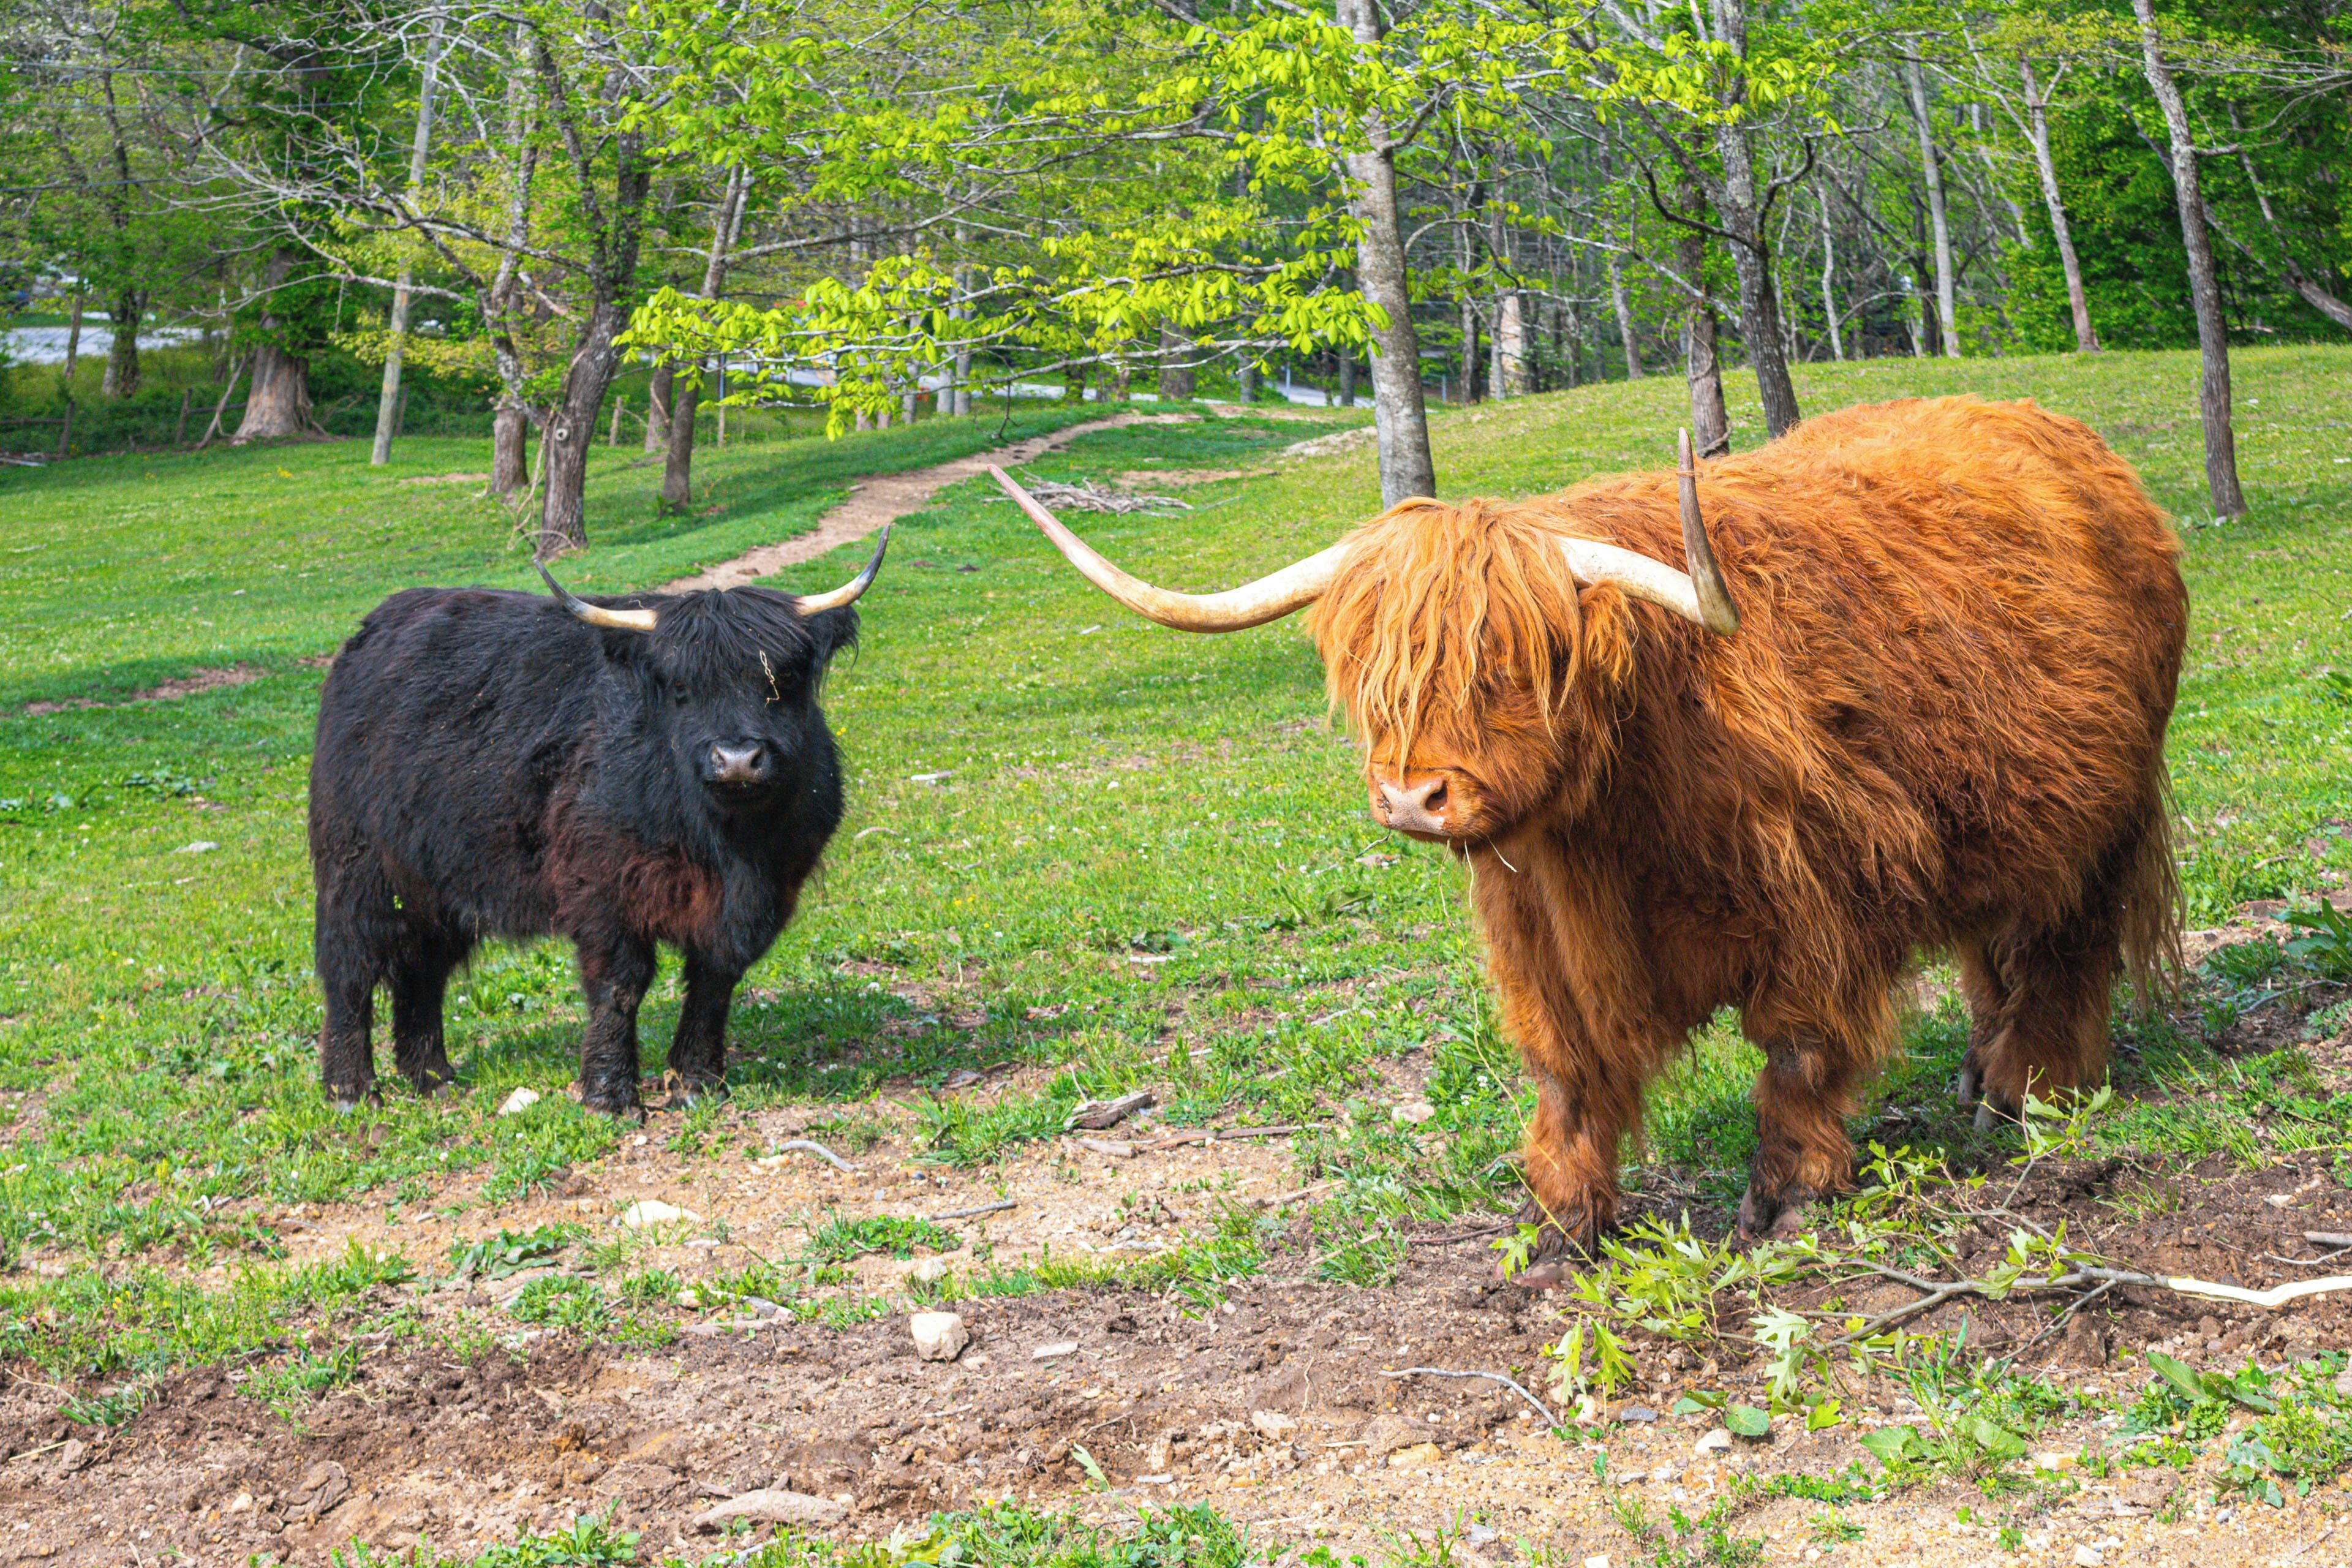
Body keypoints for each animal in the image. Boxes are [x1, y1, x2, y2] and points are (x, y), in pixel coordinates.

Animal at [307, 529, 889, 1117]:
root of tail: (374, 628)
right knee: (350, 967)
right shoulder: (603, 887)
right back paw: (351, 1090)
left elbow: (714, 982)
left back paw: (432, 1077)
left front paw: (698, 1080)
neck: (729, 846)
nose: (737, 759)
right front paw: (609, 1095)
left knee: (422, 971)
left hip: (437, 882)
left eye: (784, 680)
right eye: (680, 688)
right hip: (355, 866)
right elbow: (619, 986)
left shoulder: (764, 893)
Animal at [995, 396, 2186, 1256]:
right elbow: (1564, 1073)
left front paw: (1790, 1201)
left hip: (2103, 818)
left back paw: (2038, 1096)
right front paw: (1563, 1226)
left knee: (2064, 951)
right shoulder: (1536, 932)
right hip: (2003, 824)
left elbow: (1797, 1056)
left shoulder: (1819, 898)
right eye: (1377, 672)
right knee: (1996, 953)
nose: (1412, 796)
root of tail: (2071, 443)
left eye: (1508, 662)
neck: (1617, 822)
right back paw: (1983, 1083)